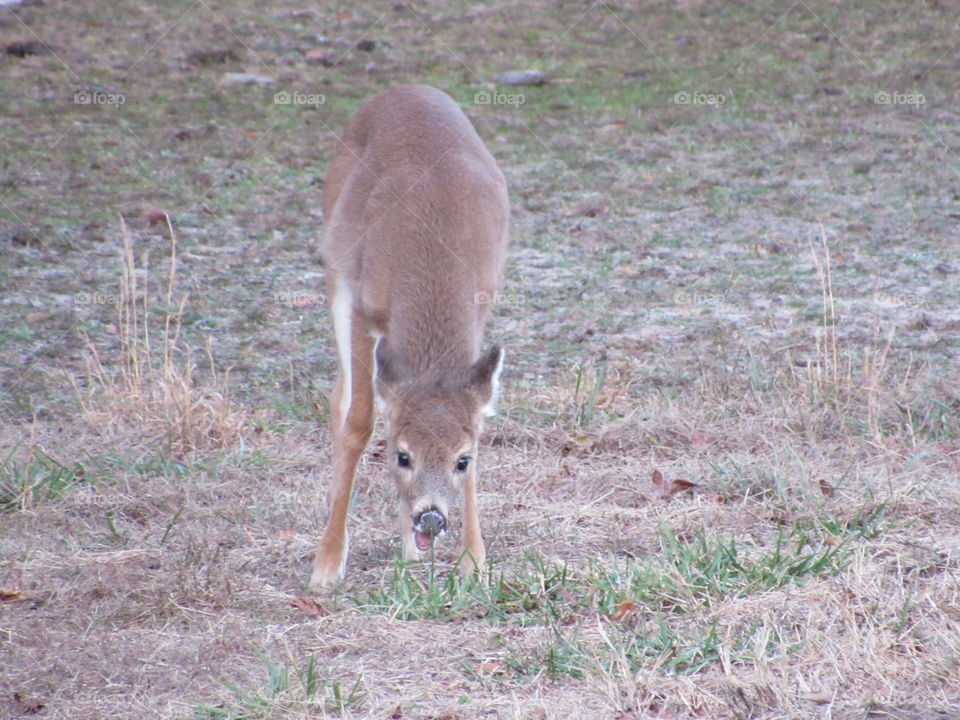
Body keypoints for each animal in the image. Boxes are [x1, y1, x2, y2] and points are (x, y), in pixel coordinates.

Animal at [309, 85, 509, 590]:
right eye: (401, 457)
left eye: (462, 461)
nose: (431, 519)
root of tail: (406, 89)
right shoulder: (363, 306)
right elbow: (359, 422)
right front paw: (326, 566)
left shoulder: (484, 299)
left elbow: (477, 416)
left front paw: (474, 562)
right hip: (335, 265)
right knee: (340, 398)